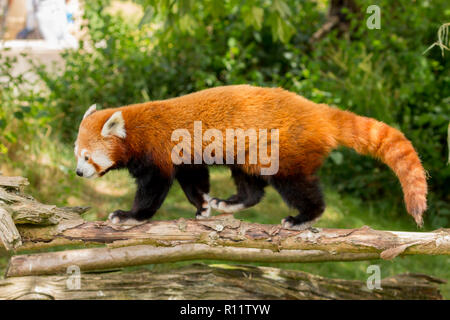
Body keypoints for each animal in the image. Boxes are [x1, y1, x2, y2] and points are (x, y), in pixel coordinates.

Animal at [75, 85, 428, 230]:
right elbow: (193, 179)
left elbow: (153, 189)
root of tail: (316, 112)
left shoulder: (159, 151)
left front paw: (130, 215)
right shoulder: (186, 156)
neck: (135, 129)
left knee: (295, 185)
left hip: (283, 150)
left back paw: (304, 217)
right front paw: (203, 206)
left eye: (87, 157)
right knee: (252, 185)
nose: (78, 174)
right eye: (77, 156)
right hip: (247, 151)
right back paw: (232, 202)